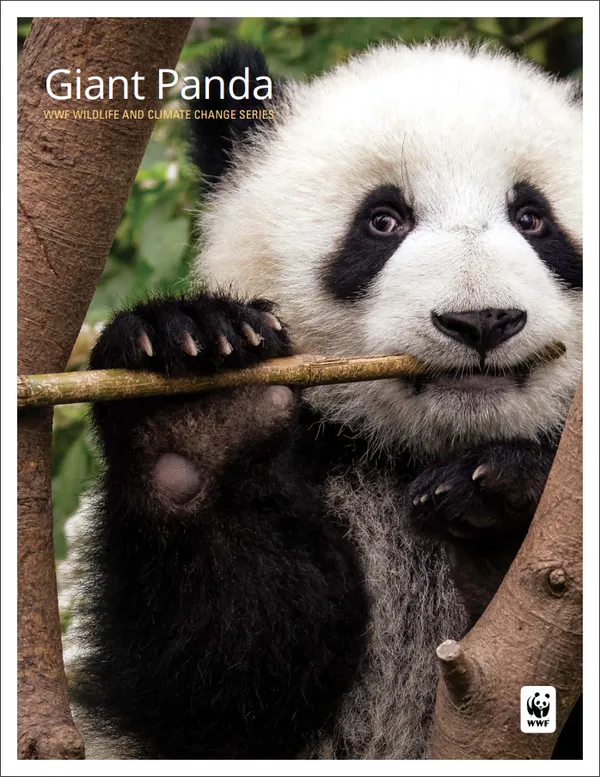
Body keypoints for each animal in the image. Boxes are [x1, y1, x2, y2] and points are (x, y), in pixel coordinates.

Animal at [69, 41, 583, 759]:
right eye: (383, 221)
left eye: (534, 219)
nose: (481, 321)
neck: (408, 455)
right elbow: (227, 677)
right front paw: (201, 408)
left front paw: (501, 490)